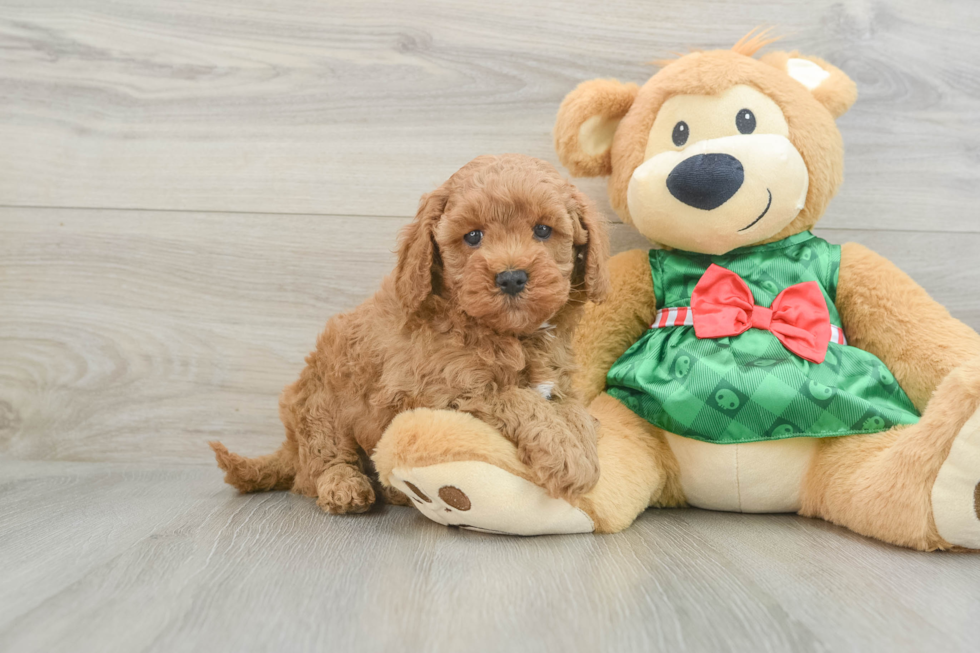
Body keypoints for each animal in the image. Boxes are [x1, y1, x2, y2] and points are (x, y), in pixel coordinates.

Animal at [211, 154, 608, 516]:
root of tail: (289, 446)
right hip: (320, 402)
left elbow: (575, 410)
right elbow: (516, 397)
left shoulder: (557, 384)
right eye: (473, 236)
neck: (511, 333)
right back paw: (345, 487)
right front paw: (568, 458)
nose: (511, 277)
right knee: (318, 466)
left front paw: (584, 448)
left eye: (543, 230)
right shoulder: (441, 391)